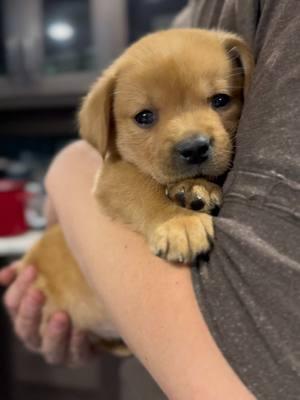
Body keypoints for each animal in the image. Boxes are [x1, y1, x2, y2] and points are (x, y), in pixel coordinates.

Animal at [19, 29, 253, 354]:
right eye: (144, 117)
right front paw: (179, 221)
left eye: (220, 100)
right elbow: (146, 191)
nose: (194, 148)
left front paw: (196, 189)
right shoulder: (115, 177)